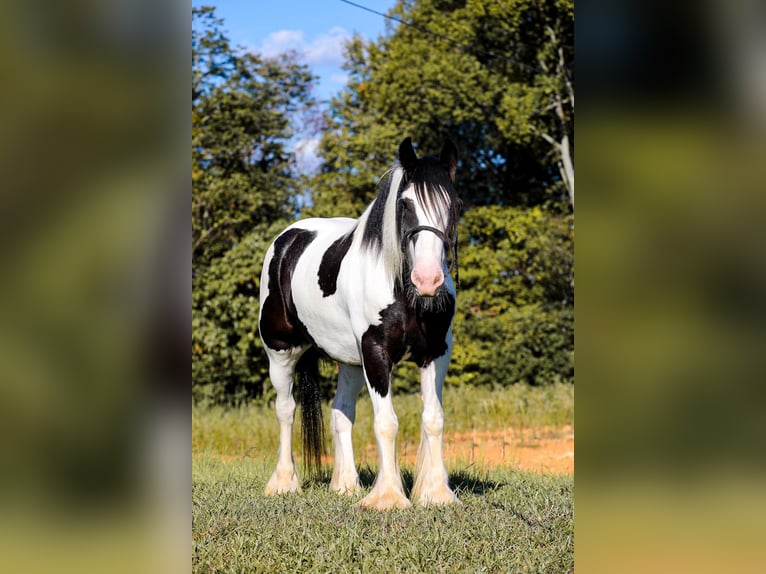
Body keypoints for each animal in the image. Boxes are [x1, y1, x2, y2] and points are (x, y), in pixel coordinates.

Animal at [258, 137, 462, 510]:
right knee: (285, 410)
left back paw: (345, 485)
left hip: (349, 361)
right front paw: (389, 497)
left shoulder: (436, 353)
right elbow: (386, 423)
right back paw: (283, 482)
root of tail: (287, 240)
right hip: (281, 353)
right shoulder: (376, 352)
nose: (428, 280)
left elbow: (434, 419)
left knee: (341, 413)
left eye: (455, 205)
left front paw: (436, 493)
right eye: (405, 205)